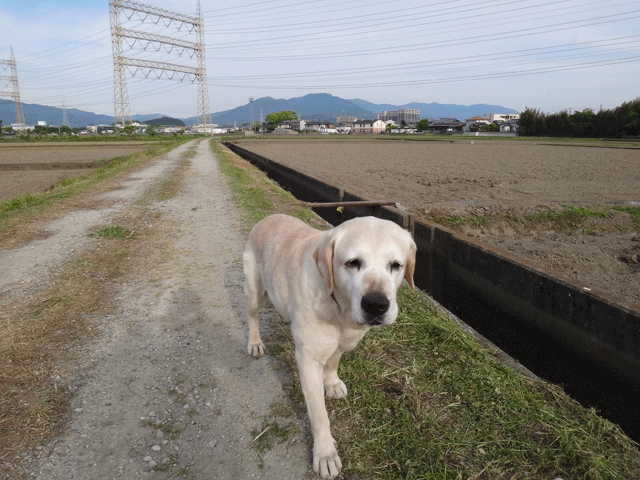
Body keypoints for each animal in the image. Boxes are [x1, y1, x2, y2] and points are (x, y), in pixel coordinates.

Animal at [244, 215, 416, 480]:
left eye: (396, 265)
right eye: (352, 263)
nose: (376, 305)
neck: (339, 310)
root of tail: (269, 218)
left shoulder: (342, 342)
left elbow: (334, 361)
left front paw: (332, 383)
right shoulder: (308, 361)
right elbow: (319, 415)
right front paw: (325, 454)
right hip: (255, 291)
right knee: (252, 316)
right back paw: (254, 343)